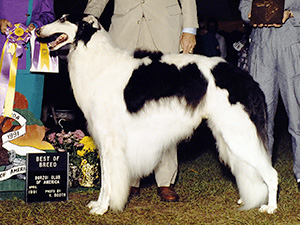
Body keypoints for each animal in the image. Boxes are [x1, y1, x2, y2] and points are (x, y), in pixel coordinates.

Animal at [37, 14, 278, 215]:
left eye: (63, 19)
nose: (38, 30)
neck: (99, 61)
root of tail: (247, 79)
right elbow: (106, 179)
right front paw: (98, 204)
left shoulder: (109, 141)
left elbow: (109, 180)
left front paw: (103, 207)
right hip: (228, 136)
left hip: (238, 134)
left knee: (271, 174)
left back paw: (270, 207)